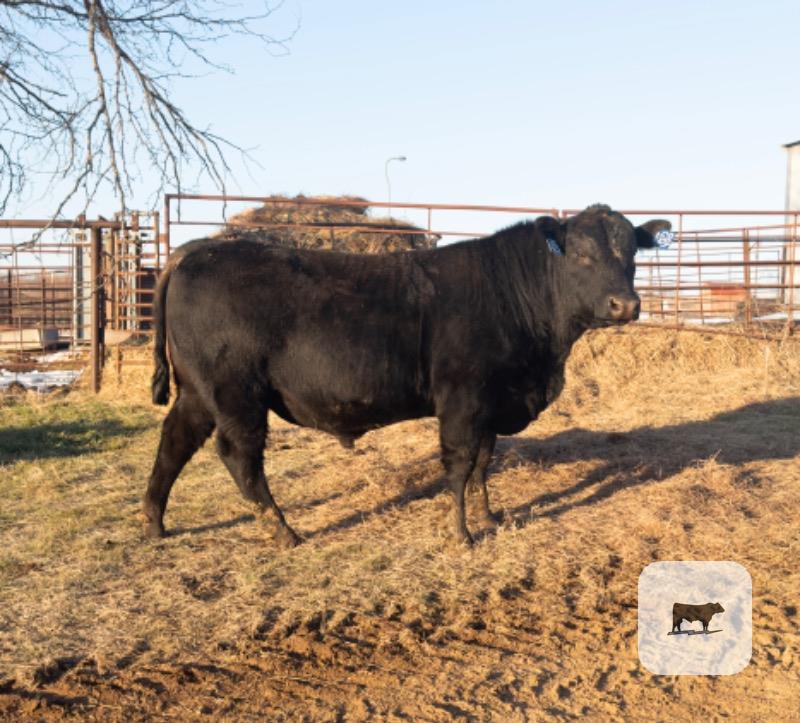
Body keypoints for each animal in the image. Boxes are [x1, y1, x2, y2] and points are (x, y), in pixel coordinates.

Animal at [143, 204, 670, 547]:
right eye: (581, 254)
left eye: (632, 255)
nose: (626, 305)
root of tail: (197, 250)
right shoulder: (462, 400)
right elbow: (459, 465)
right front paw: (461, 534)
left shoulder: (492, 402)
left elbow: (484, 463)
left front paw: (489, 517)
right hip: (236, 393)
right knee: (240, 457)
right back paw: (283, 532)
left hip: (198, 393)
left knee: (174, 441)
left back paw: (154, 522)